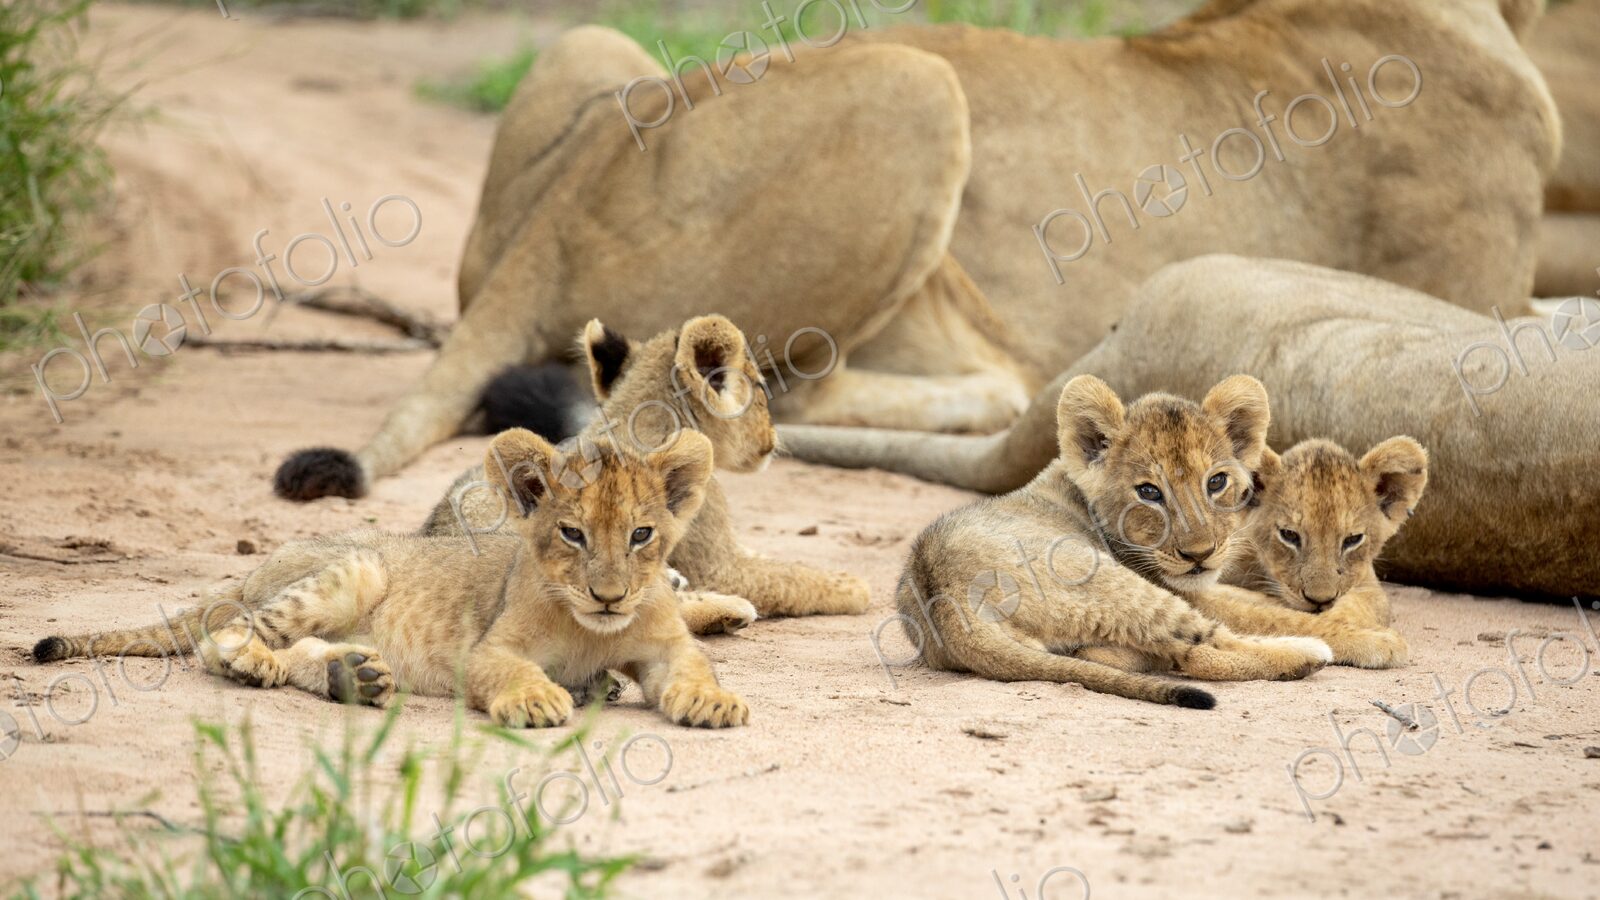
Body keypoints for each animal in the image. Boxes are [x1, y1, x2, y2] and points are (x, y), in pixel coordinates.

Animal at [35, 430, 749, 729]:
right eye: (572, 534)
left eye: (640, 535)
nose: (608, 596)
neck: (593, 630)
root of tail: (263, 562)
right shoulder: (488, 649)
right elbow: (513, 672)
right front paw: (536, 700)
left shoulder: (664, 646)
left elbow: (692, 664)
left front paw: (712, 702)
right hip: (356, 569)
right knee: (228, 633)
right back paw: (261, 663)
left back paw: (351, 675)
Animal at [419, 314, 871, 628]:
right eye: (761, 389)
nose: (773, 437)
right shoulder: (718, 563)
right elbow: (791, 577)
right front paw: (853, 586)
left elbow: (781, 563)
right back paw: (728, 610)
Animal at [895, 373, 1334, 709]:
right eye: (1149, 492)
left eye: (1216, 482)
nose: (1200, 555)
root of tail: (947, 600)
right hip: (1115, 585)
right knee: (1198, 648)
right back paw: (1307, 654)